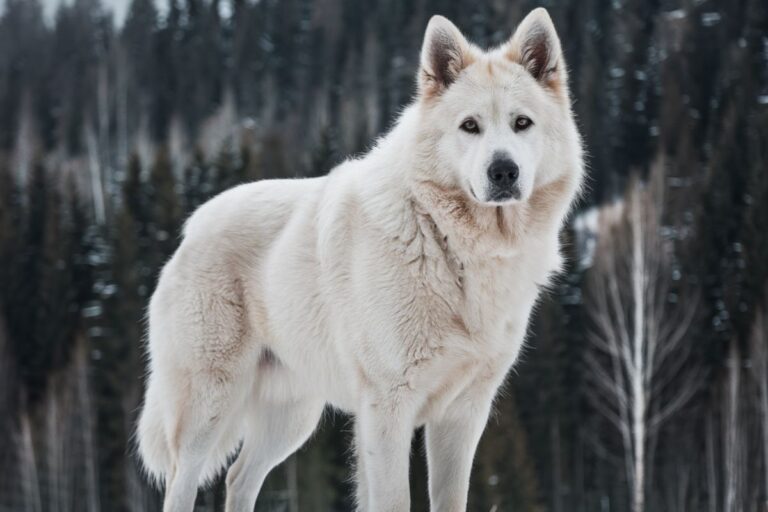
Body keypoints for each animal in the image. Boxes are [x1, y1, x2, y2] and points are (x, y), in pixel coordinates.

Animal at [136, 9, 584, 512]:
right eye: (470, 126)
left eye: (521, 122)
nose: (503, 171)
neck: (449, 245)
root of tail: (192, 228)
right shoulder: (388, 407)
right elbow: (393, 499)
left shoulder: (462, 414)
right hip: (208, 407)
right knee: (184, 481)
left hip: (292, 418)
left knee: (238, 477)